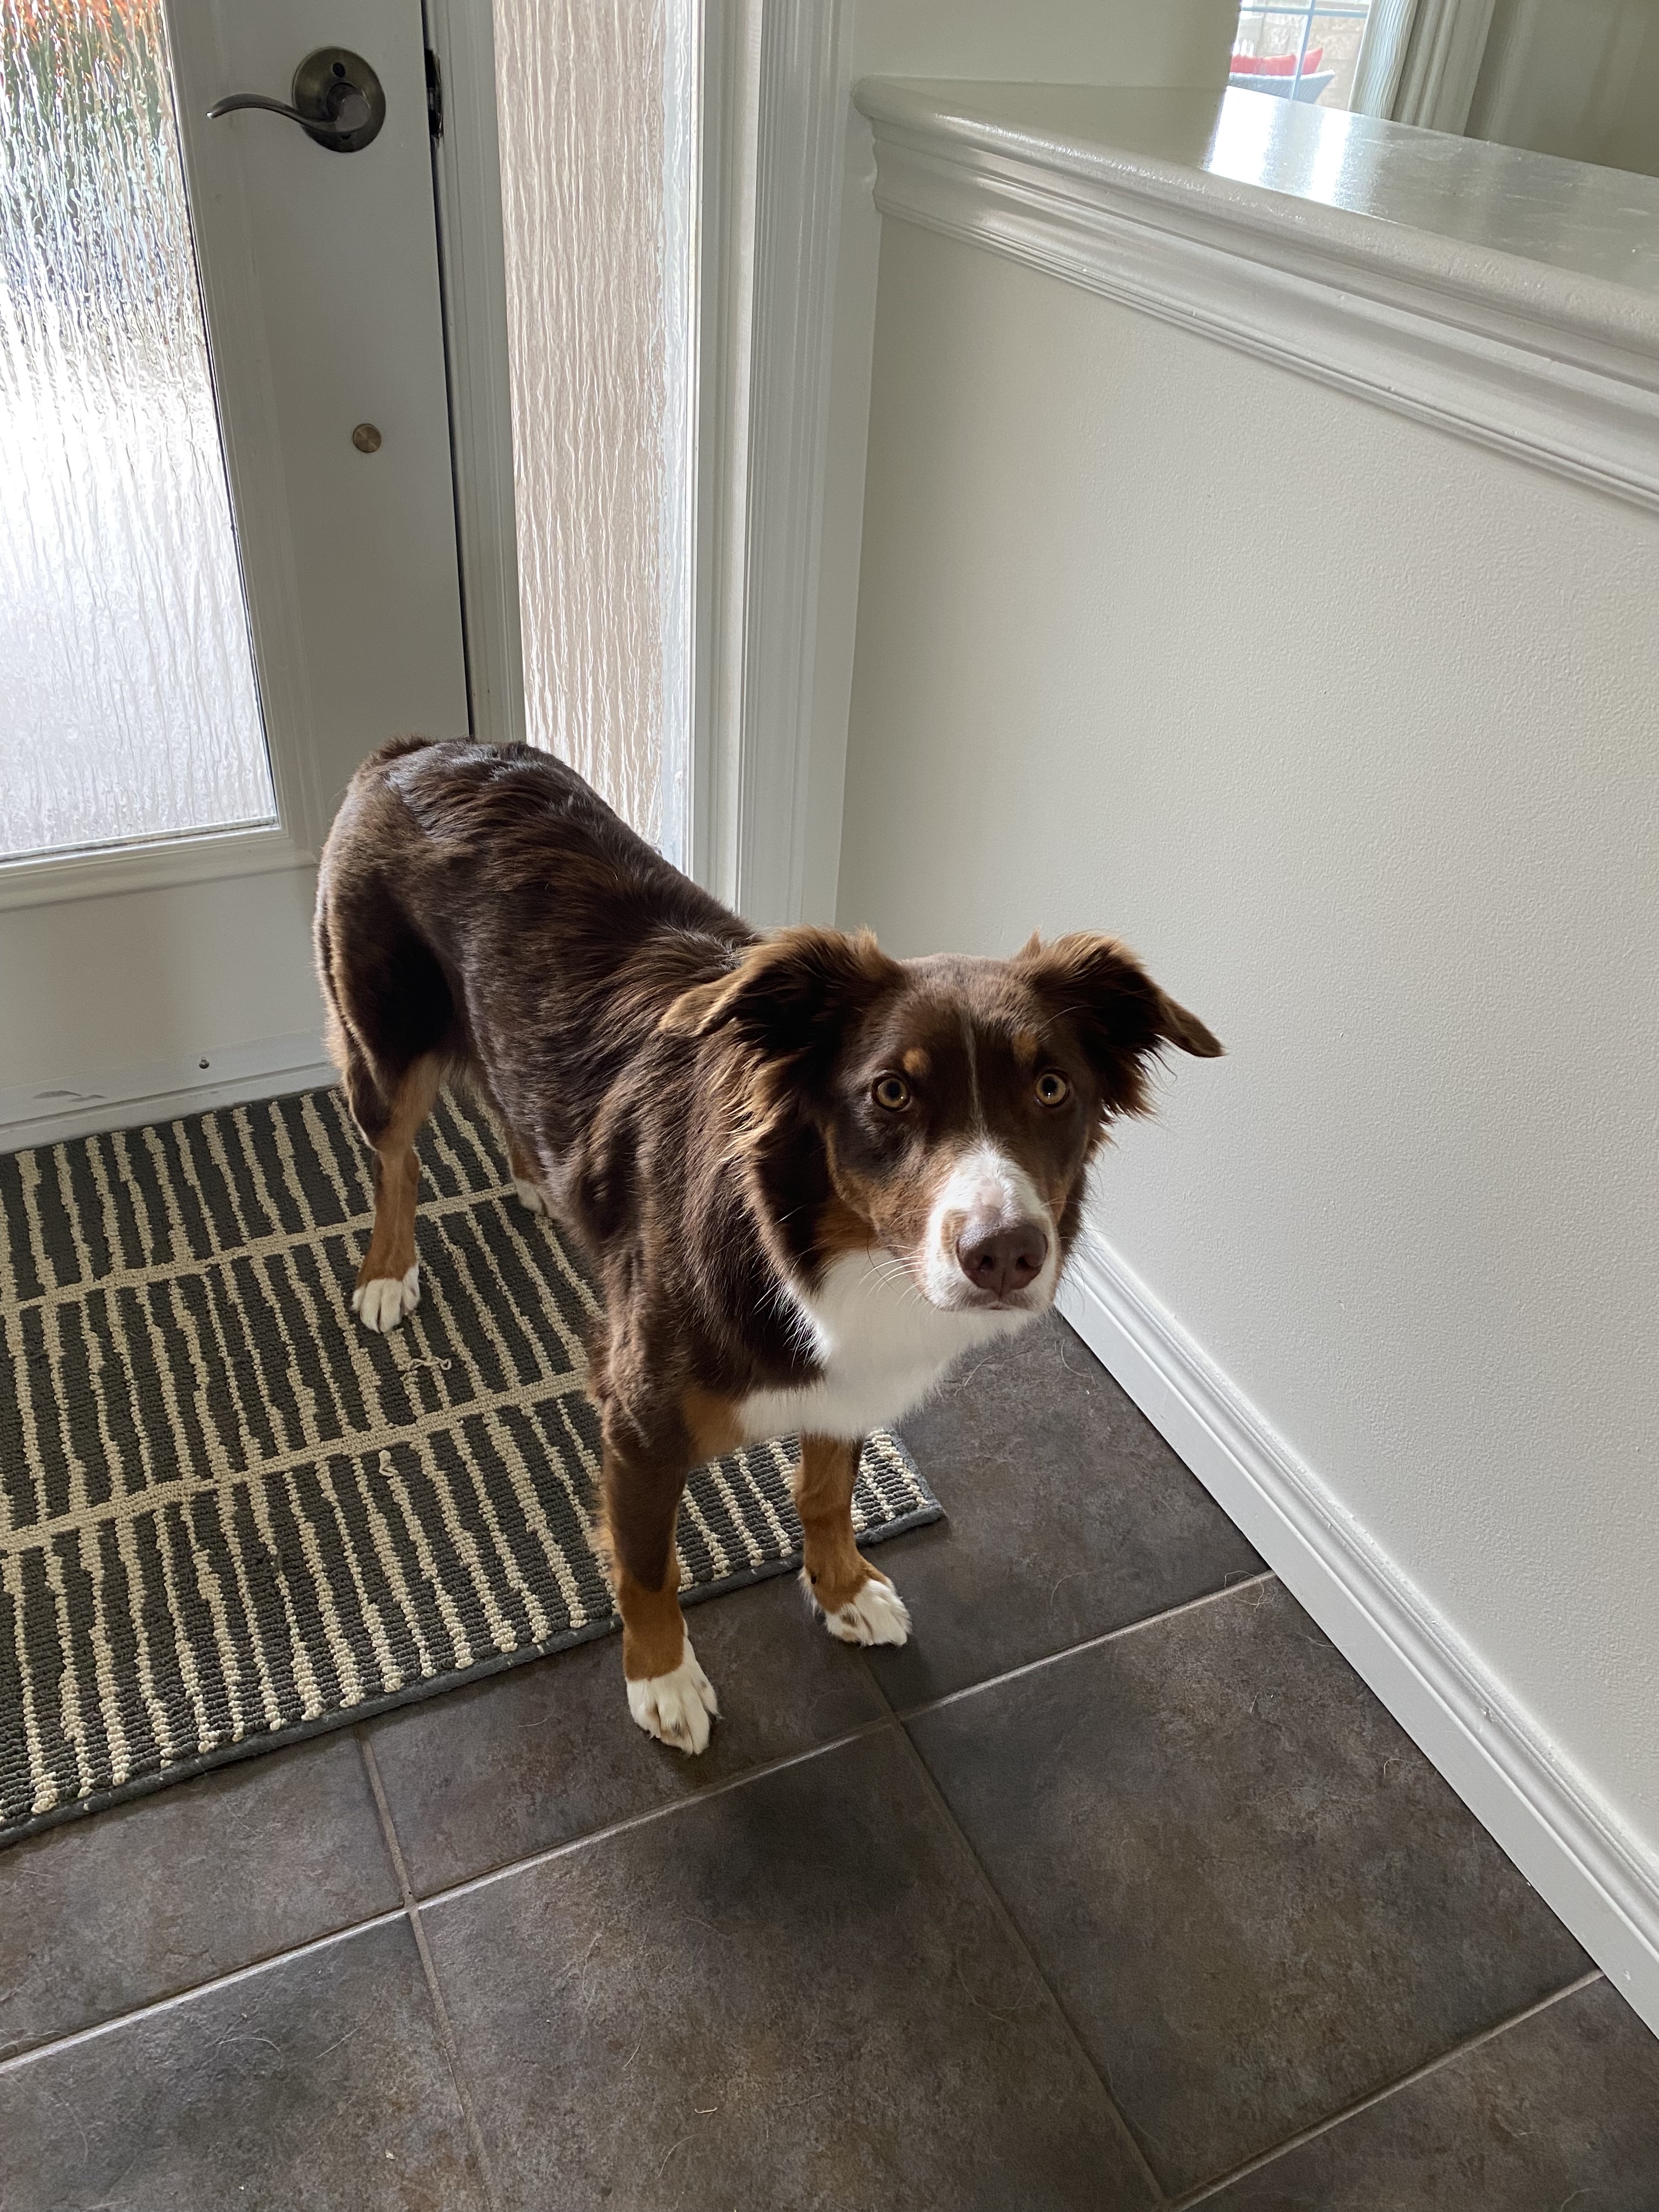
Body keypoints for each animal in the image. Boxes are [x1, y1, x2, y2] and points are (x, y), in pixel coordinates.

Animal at [315, 738, 1222, 1752]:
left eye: (1054, 1086)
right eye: (890, 1091)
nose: (1005, 1254)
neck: (815, 1241)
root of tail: (420, 749)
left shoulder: (849, 1380)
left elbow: (826, 1492)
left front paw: (842, 1588)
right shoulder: (637, 1419)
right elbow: (647, 1565)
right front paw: (662, 1677)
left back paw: (533, 1178)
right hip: (382, 1042)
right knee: (395, 1157)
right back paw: (388, 1269)